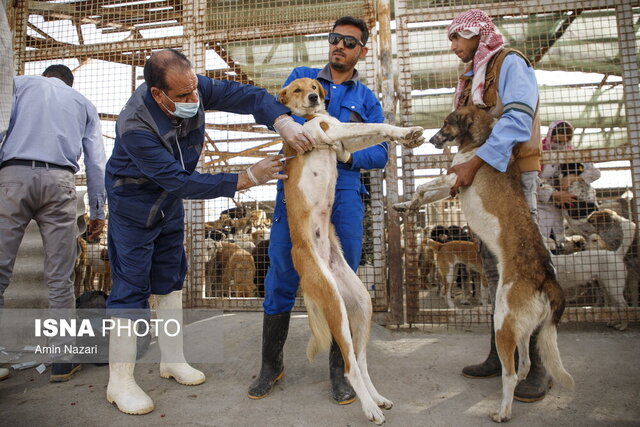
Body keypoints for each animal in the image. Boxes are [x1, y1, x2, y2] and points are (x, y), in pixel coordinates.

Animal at [278, 77, 424, 424]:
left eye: (313, 85)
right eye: (297, 89)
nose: (314, 96)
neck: (312, 117)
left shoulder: (341, 141)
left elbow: (371, 137)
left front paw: (405, 136)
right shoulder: (331, 131)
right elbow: (376, 124)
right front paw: (401, 130)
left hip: (362, 303)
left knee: (360, 360)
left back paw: (376, 397)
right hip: (334, 304)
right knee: (349, 366)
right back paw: (369, 408)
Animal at [396, 106, 576, 422]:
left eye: (447, 123)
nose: (431, 139)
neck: (481, 140)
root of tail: (546, 278)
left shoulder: (455, 178)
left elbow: (423, 186)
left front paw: (414, 200)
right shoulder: (452, 186)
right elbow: (422, 195)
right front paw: (403, 205)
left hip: (503, 319)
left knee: (511, 373)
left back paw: (503, 411)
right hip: (522, 326)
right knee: (525, 362)